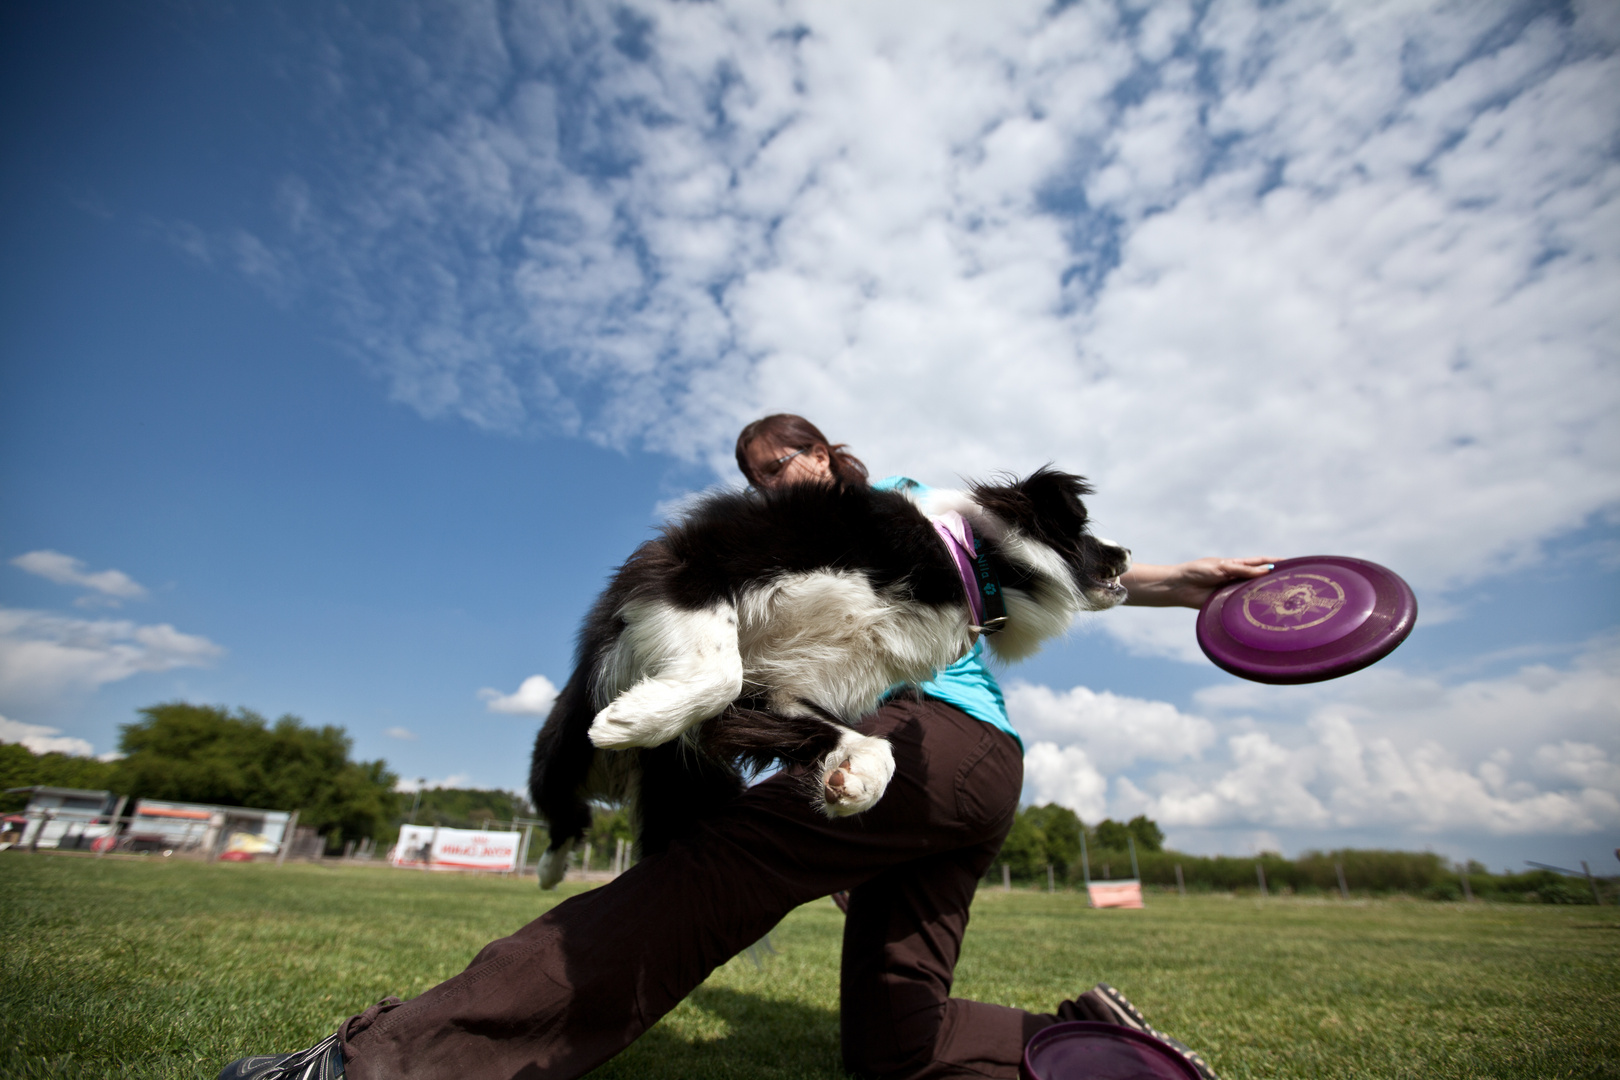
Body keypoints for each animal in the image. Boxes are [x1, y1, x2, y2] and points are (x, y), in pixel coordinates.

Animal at [528, 469, 1127, 887]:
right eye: (1087, 532)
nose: (1126, 552)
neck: (967, 561)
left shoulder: (783, 691)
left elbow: (868, 745)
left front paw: (853, 783)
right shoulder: (702, 558)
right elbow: (722, 671)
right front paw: (633, 718)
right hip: (563, 746)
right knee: (563, 808)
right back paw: (552, 868)